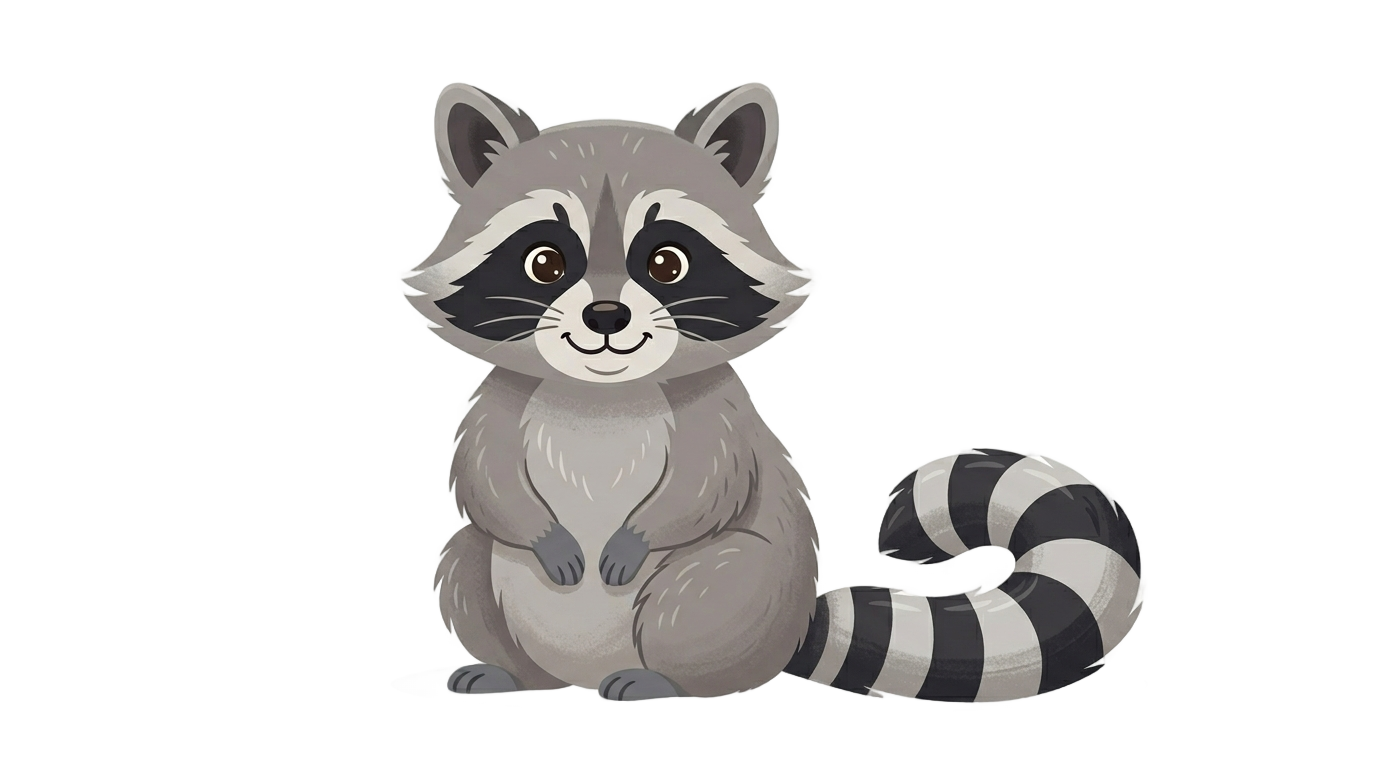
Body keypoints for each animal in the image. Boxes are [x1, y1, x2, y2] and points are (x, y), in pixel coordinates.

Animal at [409, 81, 1140, 701]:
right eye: (546, 262)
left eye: (666, 262)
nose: (607, 317)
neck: (601, 398)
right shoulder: (502, 401)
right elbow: (483, 479)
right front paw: (541, 533)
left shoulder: (716, 414)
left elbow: (710, 485)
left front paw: (641, 533)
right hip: (490, 586)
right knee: (462, 563)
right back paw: (507, 673)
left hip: (739, 599)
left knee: (705, 591)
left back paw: (665, 682)